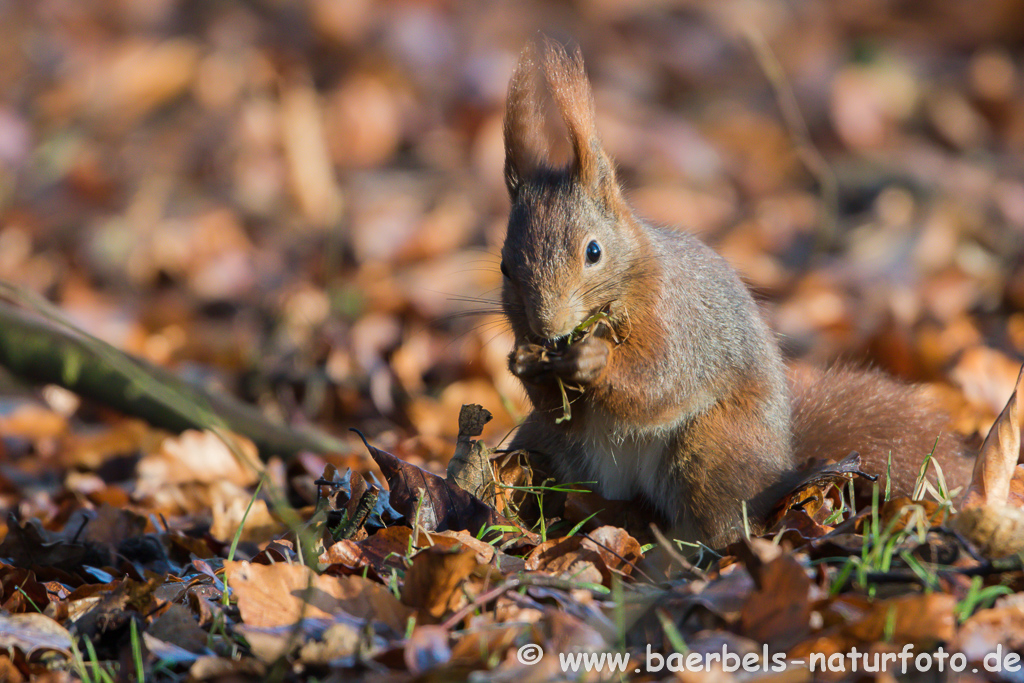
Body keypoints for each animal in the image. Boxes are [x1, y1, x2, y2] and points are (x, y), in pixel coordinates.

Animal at [497, 42, 974, 548]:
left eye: (593, 251)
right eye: (505, 267)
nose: (548, 329)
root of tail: (782, 462)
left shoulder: (679, 321)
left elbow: (658, 380)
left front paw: (593, 361)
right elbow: (562, 410)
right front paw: (522, 361)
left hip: (711, 447)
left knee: (729, 520)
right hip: (545, 447)